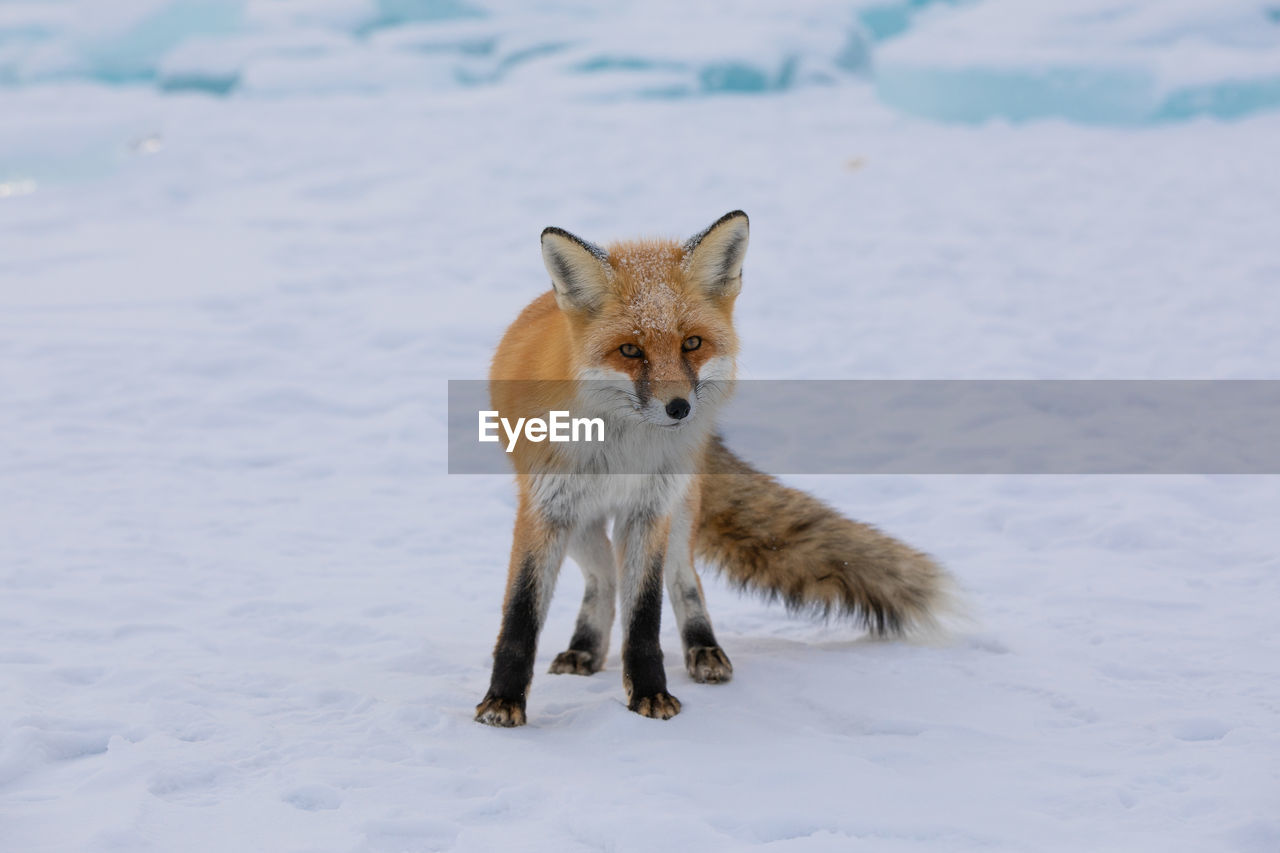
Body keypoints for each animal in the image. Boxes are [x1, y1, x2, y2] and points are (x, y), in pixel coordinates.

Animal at [473, 207, 952, 722]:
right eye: (630, 350)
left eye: (692, 343)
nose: (680, 408)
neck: (622, 450)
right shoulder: (546, 509)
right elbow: (521, 615)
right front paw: (502, 701)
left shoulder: (649, 512)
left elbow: (645, 615)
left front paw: (649, 692)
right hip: (580, 522)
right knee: (603, 577)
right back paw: (586, 648)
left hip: (677, 513)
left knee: (682, 578)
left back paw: (703, 650)